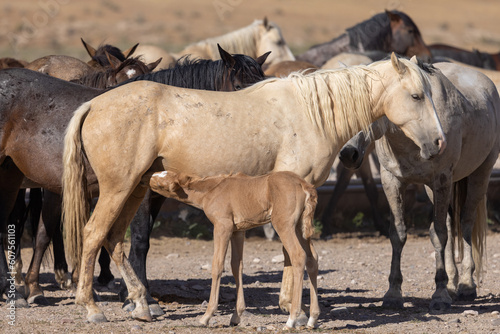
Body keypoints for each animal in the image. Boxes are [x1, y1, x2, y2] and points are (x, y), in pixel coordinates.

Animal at [149, 171, 320, 328]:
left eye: (160, 183)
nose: (149, 177)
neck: (211, 191)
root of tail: (303, 185)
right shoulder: (238, 231)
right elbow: (236, 266)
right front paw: (236, 316)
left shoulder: (222, 226)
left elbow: (217, 265)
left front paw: (206, 316)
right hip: (300, 227)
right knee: (312, 259)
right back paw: (312, 318)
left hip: (284, 224)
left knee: (298, 256)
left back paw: (291, 320)